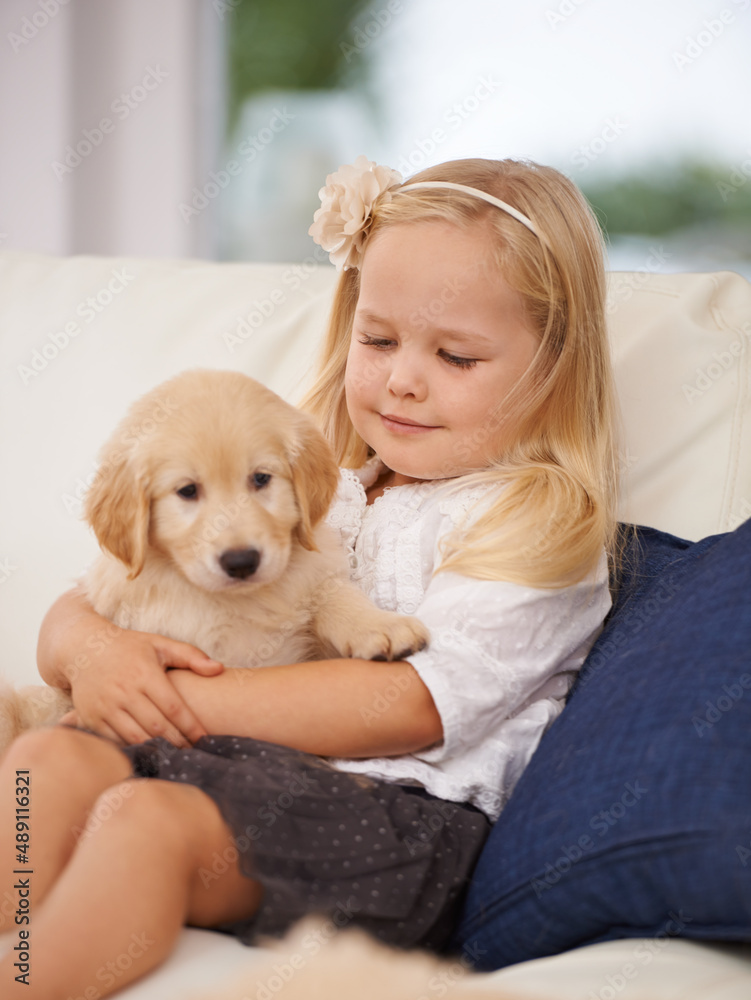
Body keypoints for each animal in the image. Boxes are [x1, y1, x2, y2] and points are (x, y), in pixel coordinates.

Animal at [0, 372, 426, 748]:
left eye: (261, 479)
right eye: (187, 491)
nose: (241, 561)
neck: (233, 602)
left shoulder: (309, 581)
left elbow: (335, 596)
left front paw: (381, 625)